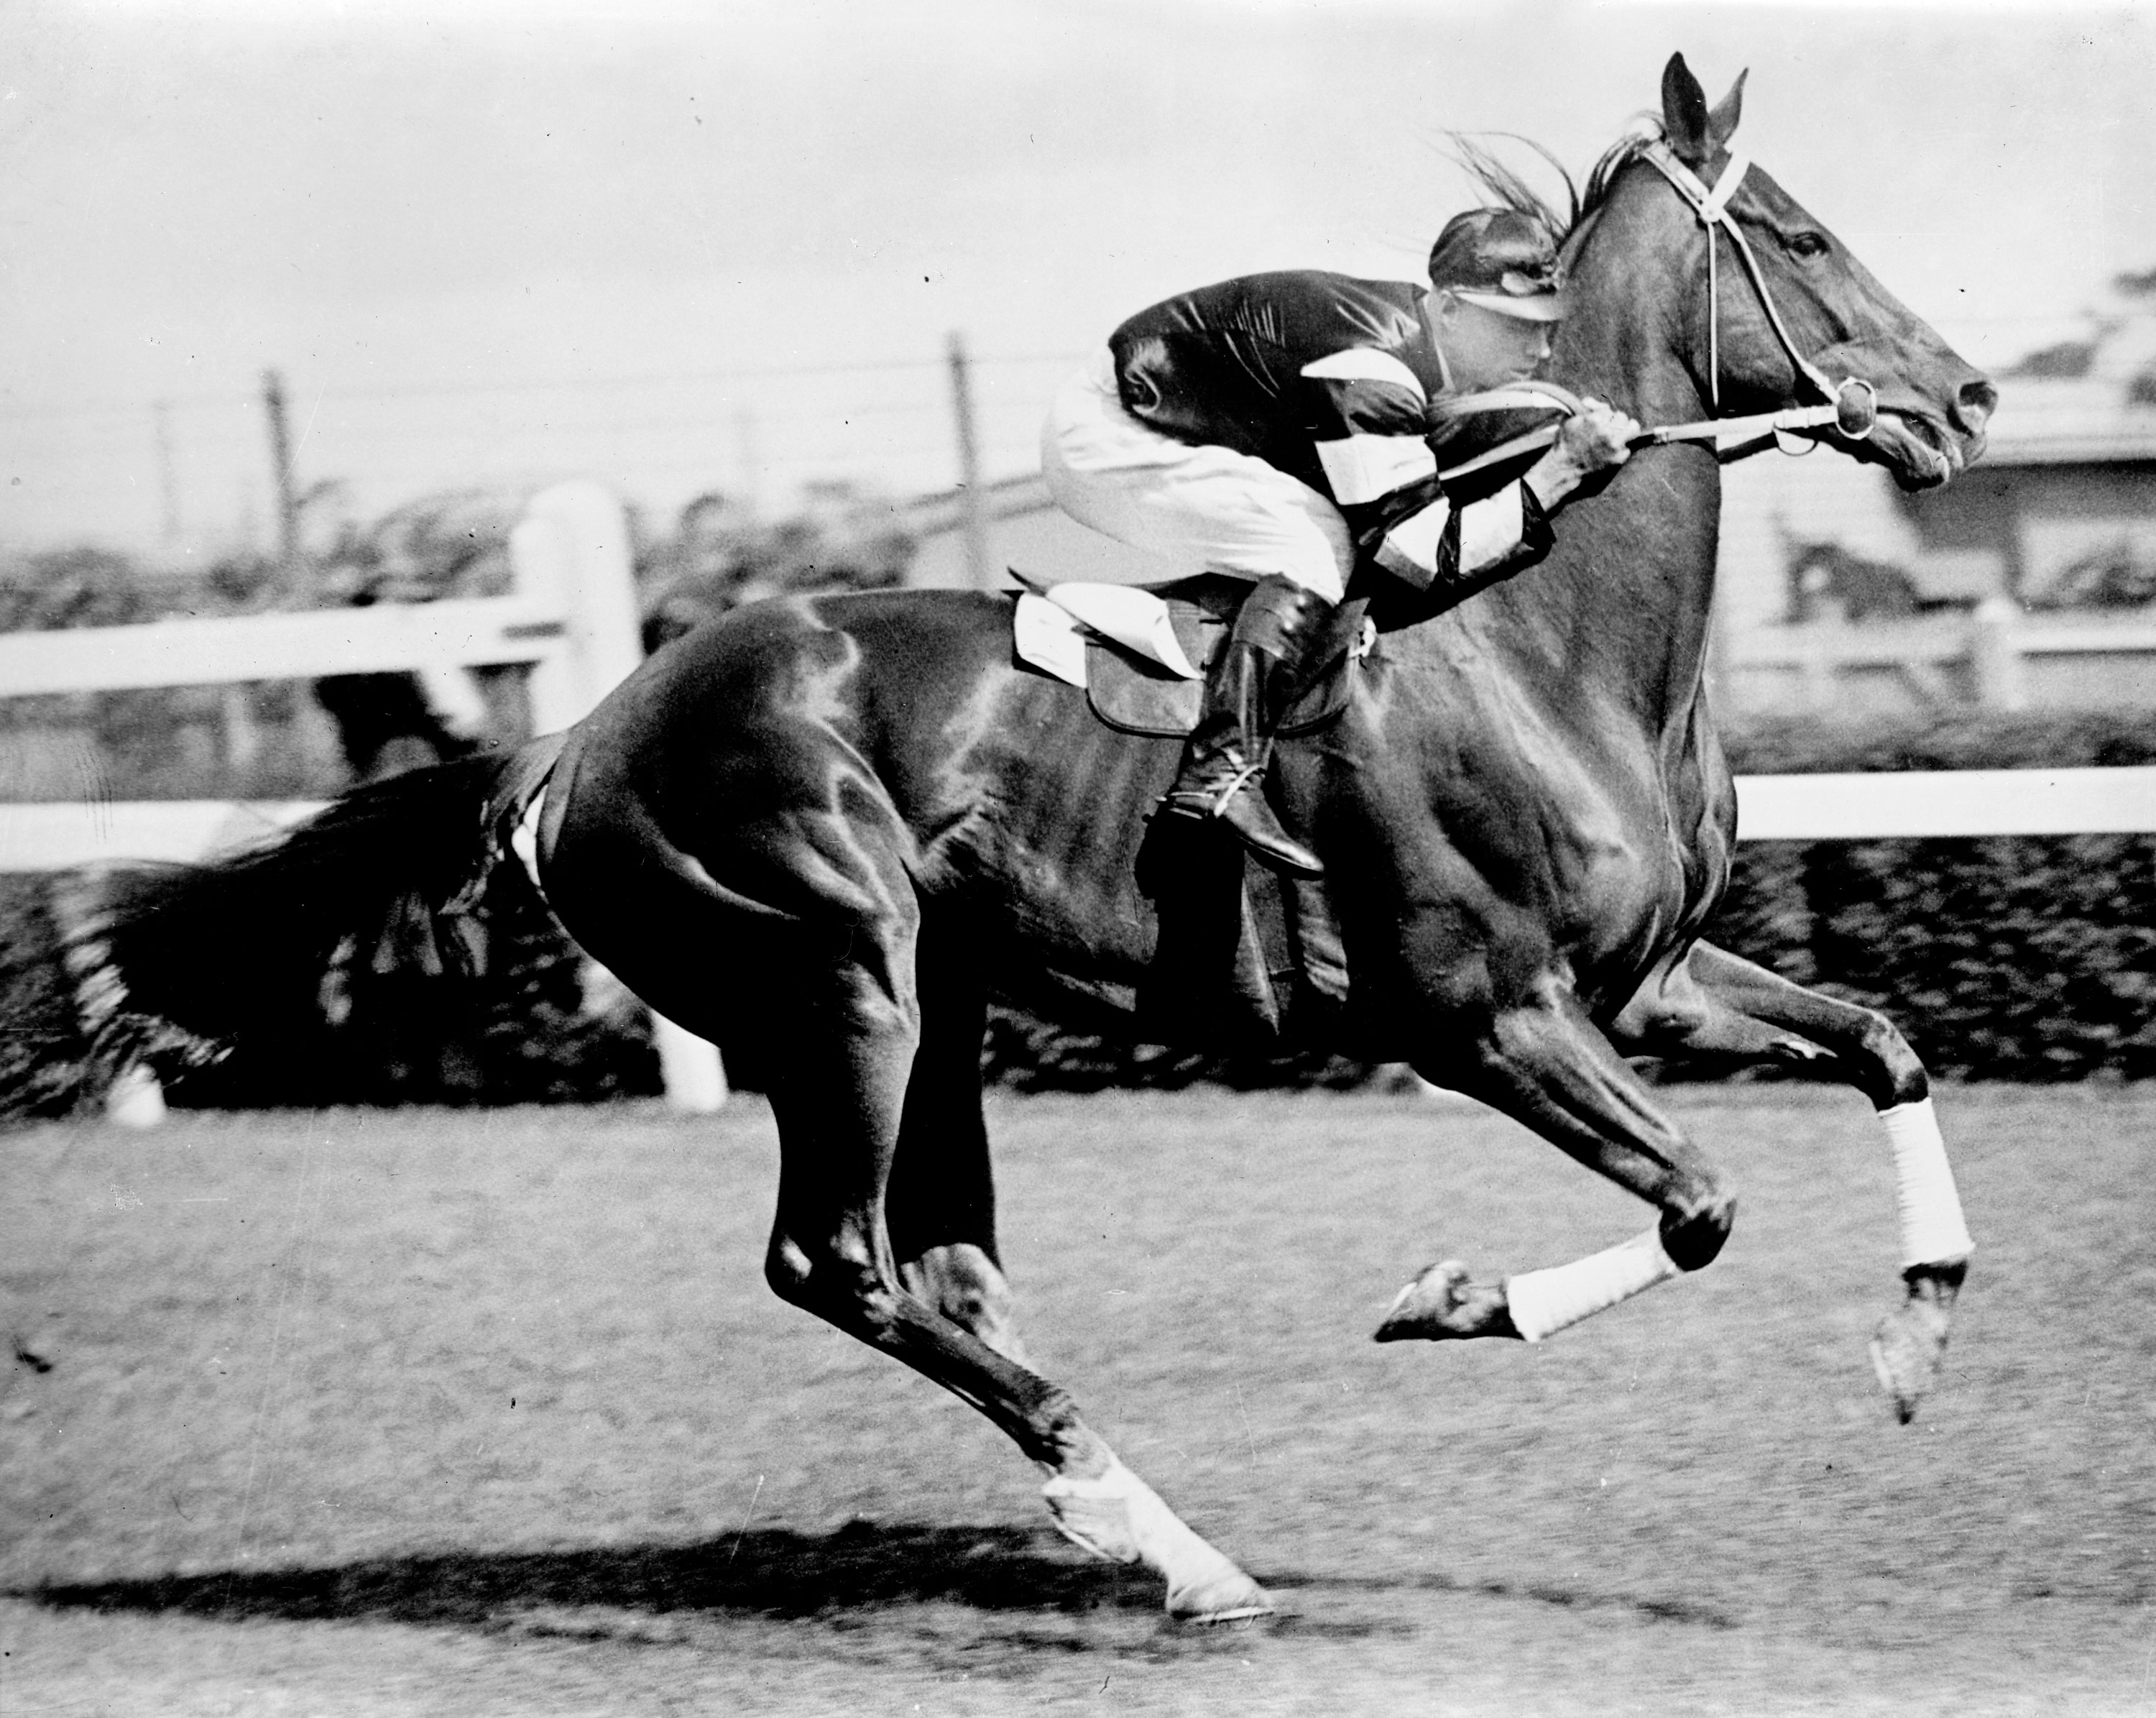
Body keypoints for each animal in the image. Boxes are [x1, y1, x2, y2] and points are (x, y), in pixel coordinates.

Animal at [93, 60, 1992, 1621]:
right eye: (1804, 234)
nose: (1966, 397)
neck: (1548, 642)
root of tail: (574, 741)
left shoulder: (1646, 980)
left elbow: (1885, 1044)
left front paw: (1913, 1333)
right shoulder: (1479, 1015)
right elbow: (1701, 1204)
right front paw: (1452, 1295)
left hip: (934, 1004)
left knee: (948, 1273)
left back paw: (1147, 1531)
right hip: (839, 981)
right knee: (835, 1261)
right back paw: (1143, 1519)